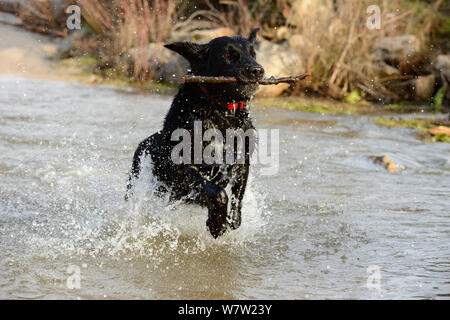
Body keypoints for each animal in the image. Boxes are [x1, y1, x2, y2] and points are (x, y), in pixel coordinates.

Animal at [125, 28, 264, 238]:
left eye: (253, 53)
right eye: (228, 55)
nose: (256, 70)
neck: (220, 111)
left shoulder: (242, 160)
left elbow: (237, 196)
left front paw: (231, 221)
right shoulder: (179, 165)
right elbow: (217, 192)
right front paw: (216, 224)